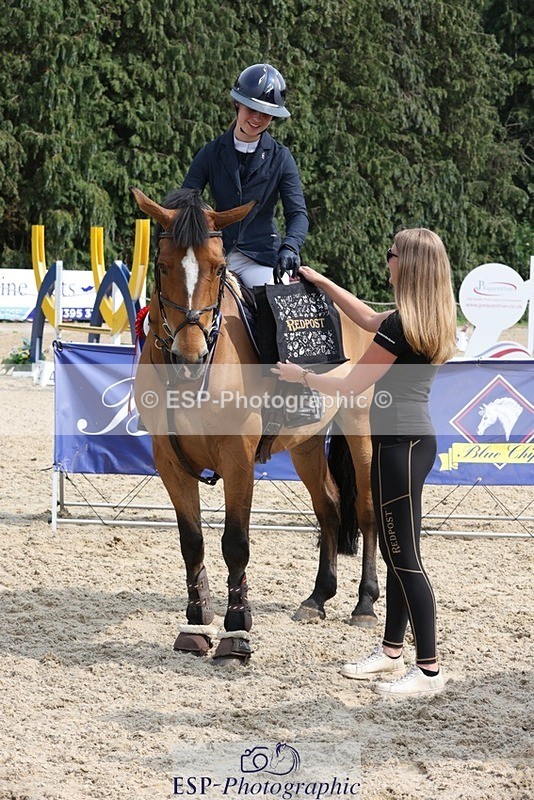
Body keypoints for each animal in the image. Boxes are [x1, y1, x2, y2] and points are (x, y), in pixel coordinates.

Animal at [131, 186, 378, 663]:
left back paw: (365, 603)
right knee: (329, 507)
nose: (189, 357)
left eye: (218, 266)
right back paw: (318, 598)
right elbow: (191, 541)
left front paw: (236, 630)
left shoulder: (238, 457)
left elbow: (235, 542)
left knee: (366, 508)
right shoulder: (168, 459)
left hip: (359, 426)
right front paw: (195, 623)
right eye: (163, 265)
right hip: (305, 444)